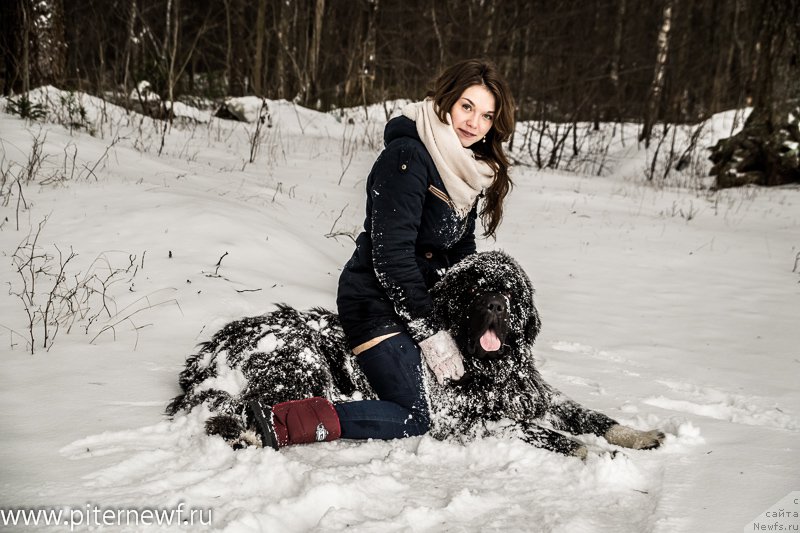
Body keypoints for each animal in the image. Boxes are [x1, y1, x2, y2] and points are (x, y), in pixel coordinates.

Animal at [167, 250, 664, 458]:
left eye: (509, 290)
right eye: (473, 288)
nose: (494, 304)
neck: (488, 369)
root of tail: (210, 352)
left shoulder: (538, 397)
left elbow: (590, 416)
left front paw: (636, 435)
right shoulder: (464, 420)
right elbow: (546, 433)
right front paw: (593, 454)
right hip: (302, 360)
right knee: (248, 412)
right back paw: (256, 435)